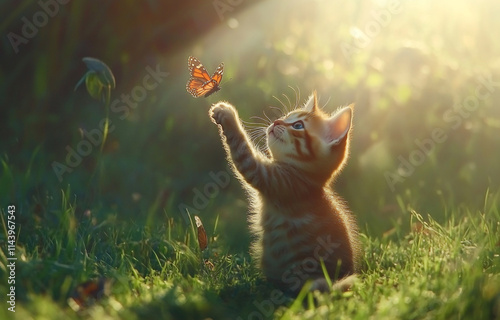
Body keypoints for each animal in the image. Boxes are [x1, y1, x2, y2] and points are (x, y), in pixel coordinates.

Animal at [209, 91, 362, 294]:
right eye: (287, 116)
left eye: (298, 125)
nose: (277, 121)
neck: (304, 178)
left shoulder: (273, 180)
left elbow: (242, 149)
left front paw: (227, 114)